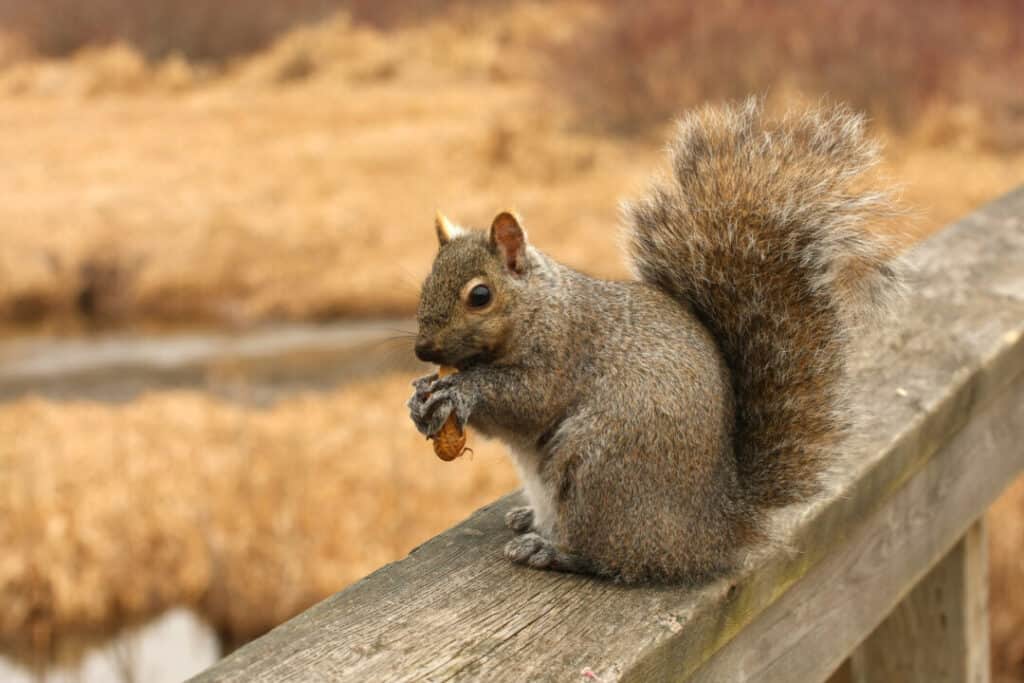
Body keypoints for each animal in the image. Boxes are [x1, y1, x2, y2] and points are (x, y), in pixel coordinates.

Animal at [407, 98, 905, 583]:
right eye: (425, 283)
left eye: (480, 296)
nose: (422, 351)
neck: (540, 305)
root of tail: (716, 530)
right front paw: (421, 397)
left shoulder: (565, 351)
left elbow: (527, 401)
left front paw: (461, 389)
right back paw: (530, 519)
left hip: (599, 470)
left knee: (610, 556)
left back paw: (550, 549)